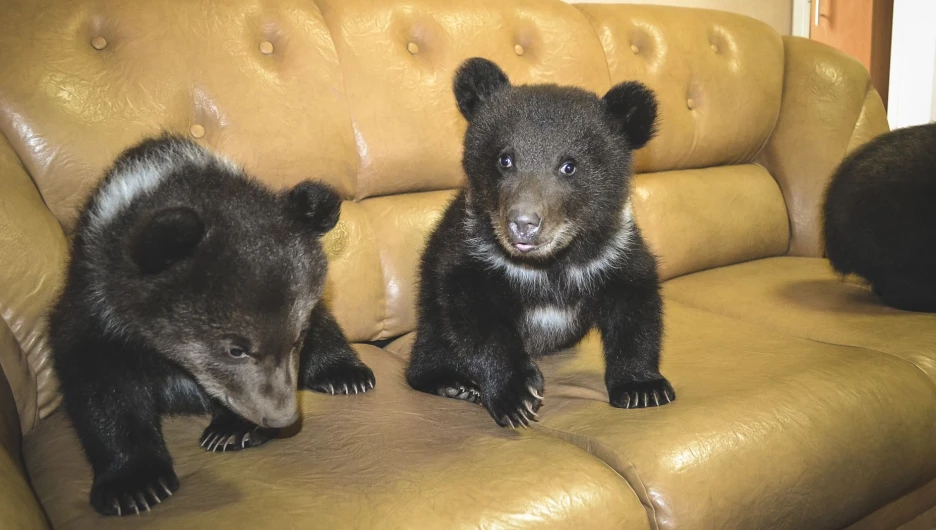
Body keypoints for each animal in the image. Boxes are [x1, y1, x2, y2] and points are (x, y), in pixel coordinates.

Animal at [48, 134, 376, 512]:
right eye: (236, 349)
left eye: (297, 338)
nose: (281, 417)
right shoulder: (96, 309)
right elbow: (101, 388)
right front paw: (136, 485)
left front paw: (232, 430)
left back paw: (346, 375)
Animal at [402, 57, 672, 424]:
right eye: (504, 159)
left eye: (569, 166)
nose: (523, 225)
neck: (549, 265)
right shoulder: (472, 252)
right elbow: (475, 315)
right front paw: (516, 396)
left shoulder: (614, 251)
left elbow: (635, 306)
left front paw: (644, 388)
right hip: (428, 300)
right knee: (433, 338)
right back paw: (452, 383)